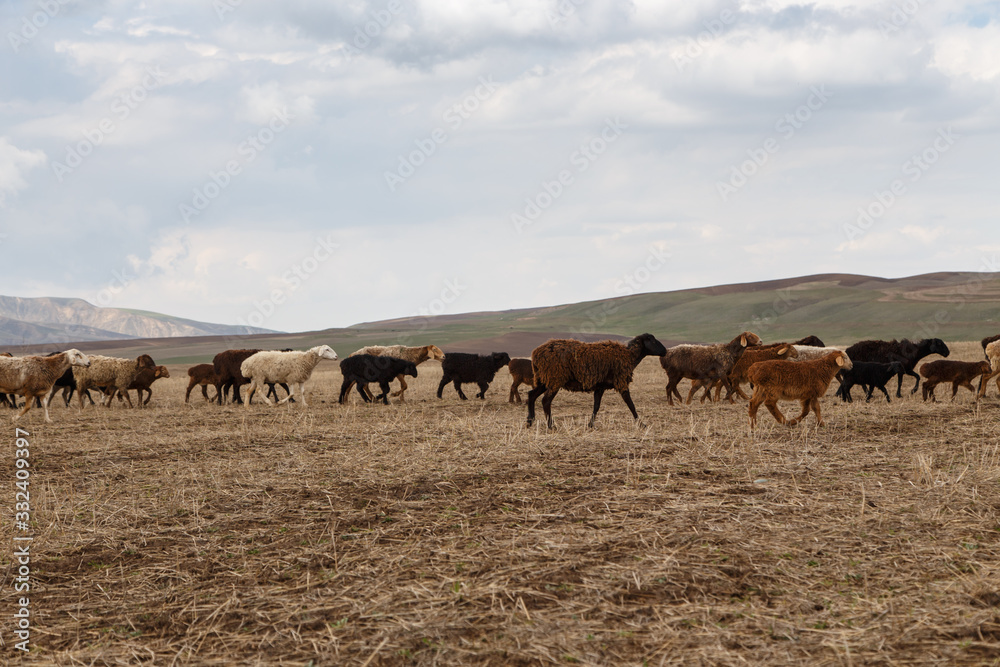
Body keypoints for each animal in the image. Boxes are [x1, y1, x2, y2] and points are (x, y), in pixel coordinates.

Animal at [528, 332, 668, 430]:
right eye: (653, 340)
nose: (665, 351)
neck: (630, 356)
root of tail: (536, 353)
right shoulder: (621, 381)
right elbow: (631, 404)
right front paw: (642, 424)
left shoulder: (600, 386)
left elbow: (596, 406)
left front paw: (590, 425)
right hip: (554, 379)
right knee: (545, 401)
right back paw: (551, 426)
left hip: (544, 379)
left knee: (531, 395)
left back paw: (530, 421)